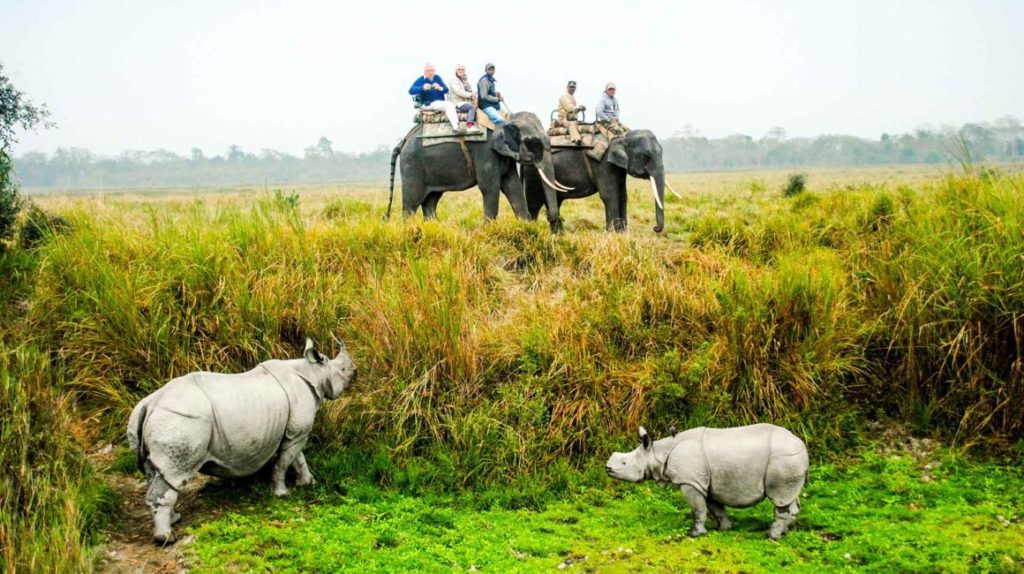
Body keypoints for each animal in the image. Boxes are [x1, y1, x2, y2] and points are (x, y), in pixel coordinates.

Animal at [128, 337, 356, 544]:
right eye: (344, 368)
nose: (356, 370)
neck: (313, 371)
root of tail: (150, 404)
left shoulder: (295, 431)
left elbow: (298, 458)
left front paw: (308, 483)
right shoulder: (298, 430)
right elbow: (283, 462)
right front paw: (282, 494)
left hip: (158, 421)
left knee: (157, 473)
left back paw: (175, 519)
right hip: (181, 421)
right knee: (175, 473)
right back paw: (167, 538)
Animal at [387, 111, 573, 229]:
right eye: (533, 143)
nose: (555, 220)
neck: (506, 118)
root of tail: (403, 140)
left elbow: (513, 186)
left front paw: (525, 227)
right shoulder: (486, 151)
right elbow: (490, 187)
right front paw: (488, 229)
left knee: (431, 200)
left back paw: (435, 228)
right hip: (412, 165)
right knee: (411, 202)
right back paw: (408, 230)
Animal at [524, 130, 684, 233]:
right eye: (646, 157)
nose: (655, 228)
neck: (622, 136)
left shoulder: (618, 167)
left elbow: (623, 195)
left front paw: (622, 233)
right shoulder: (602, 164)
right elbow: (610, 195)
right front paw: (612, 233)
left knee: (554, 202)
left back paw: (558, 234)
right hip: (533, 173)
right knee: (533, 202)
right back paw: (530, 230)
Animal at [606, 423, 806, 540]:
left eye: (624, 463)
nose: (607, 468)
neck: (657, 453)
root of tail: (803, 446)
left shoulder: (690, 482)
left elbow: (698, 509)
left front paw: (694, 534)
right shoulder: (705, 483)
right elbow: (715, 508)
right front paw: (724, 528)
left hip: (783, 459)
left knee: (780, 498)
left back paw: (771, 536)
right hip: (791, 462)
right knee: (790, 498)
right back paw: (781, 532)